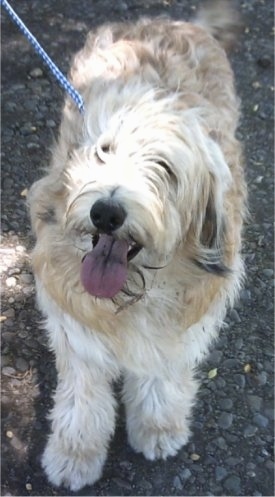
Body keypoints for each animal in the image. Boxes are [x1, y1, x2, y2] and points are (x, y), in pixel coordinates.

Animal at [28, 0, 247, 488]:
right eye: (102, 151)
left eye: (165, 170)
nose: (106, 213)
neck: (134, 295)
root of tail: (172, 20)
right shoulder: (73, 316)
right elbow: (84, 396)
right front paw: (75, 454)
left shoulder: (183, 322)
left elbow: (162, 374)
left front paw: (159, 427)